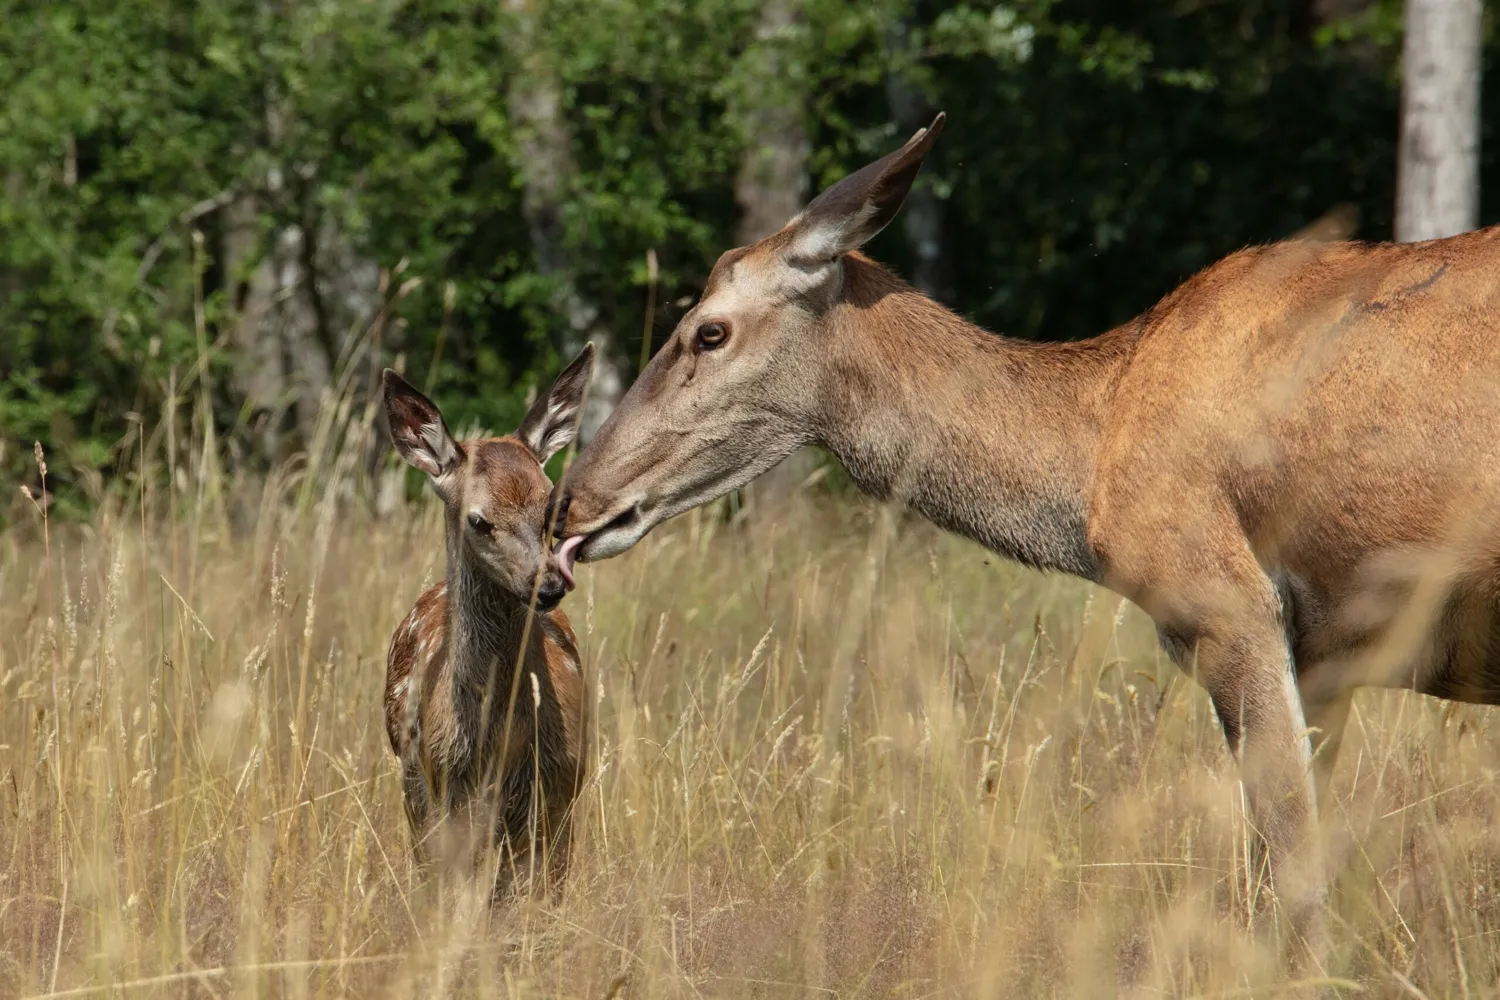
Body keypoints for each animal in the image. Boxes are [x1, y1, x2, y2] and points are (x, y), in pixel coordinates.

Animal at [381, 347, 591, 893]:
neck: (499, 743)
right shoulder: (445, 794)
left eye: (551, 508)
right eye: (479, 520)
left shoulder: (558, 796)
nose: (550, 586)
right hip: (413, 785)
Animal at [558, 113, 1500, 953]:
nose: (573, 502)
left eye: (707, 331)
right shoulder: (1327, 659)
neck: (1094, 451)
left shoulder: (1226, 602)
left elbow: (1291, 862)